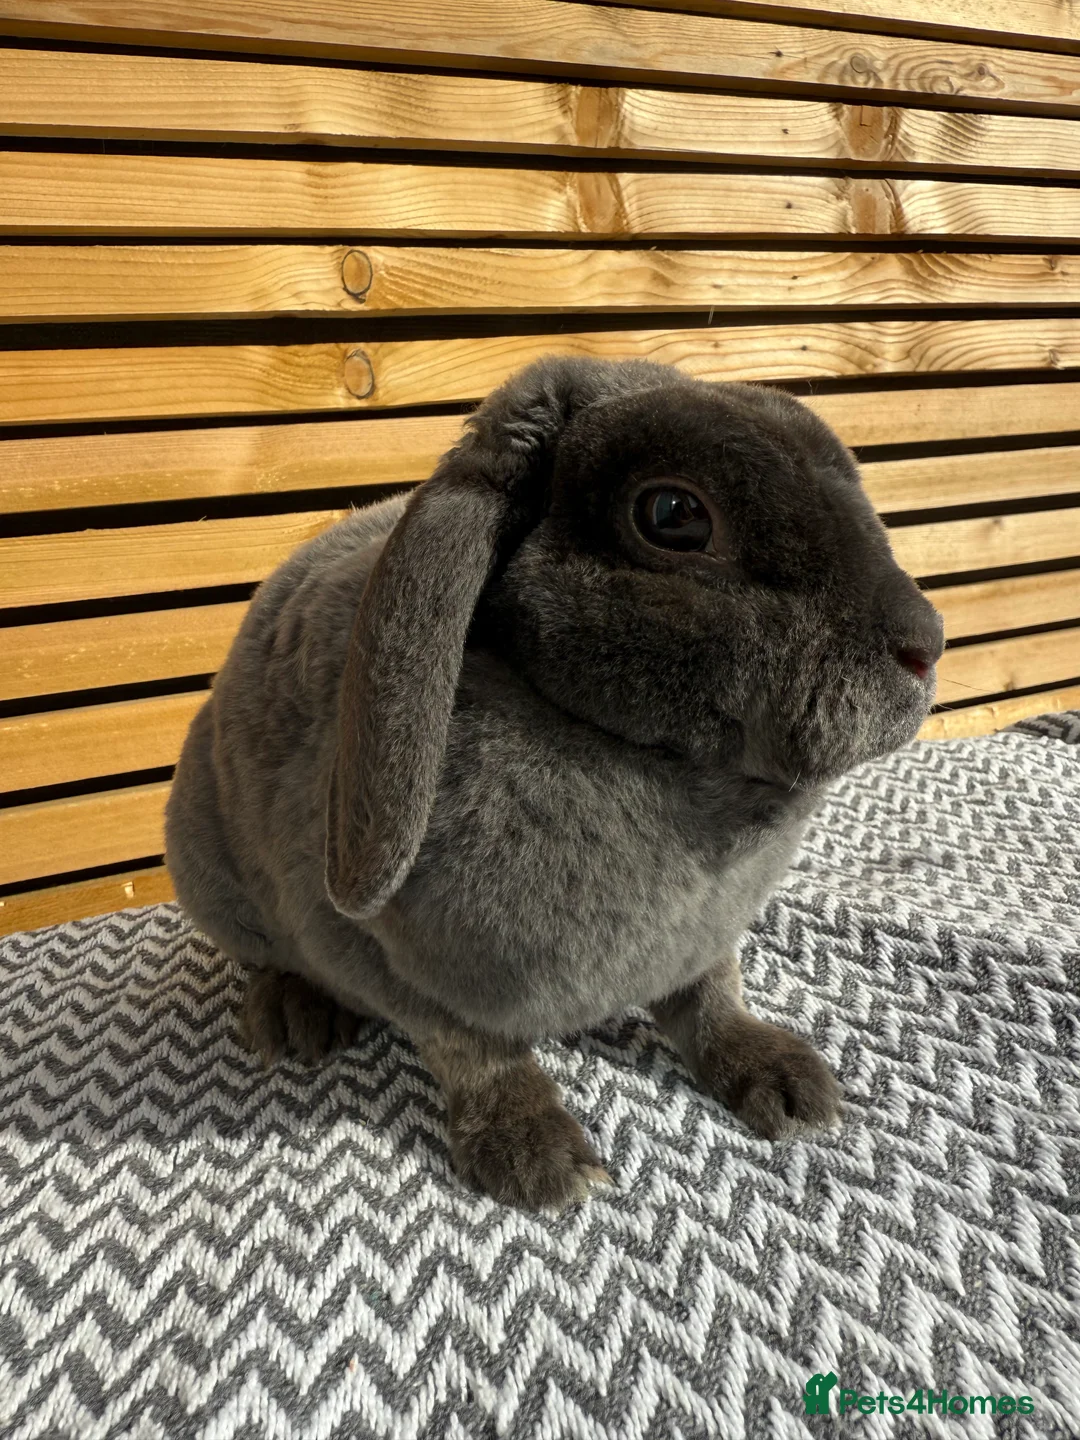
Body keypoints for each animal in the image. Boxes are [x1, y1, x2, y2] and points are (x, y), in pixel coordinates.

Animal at [166, 355, 944, 1210]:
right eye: (674, 515)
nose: (927, 645)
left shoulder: (703, 947)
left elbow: (710, 1000)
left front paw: (785, 1081)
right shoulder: (379, 960)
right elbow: (473, 1053)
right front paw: (537, 1158)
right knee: (265, 957)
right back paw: (296, 1019)